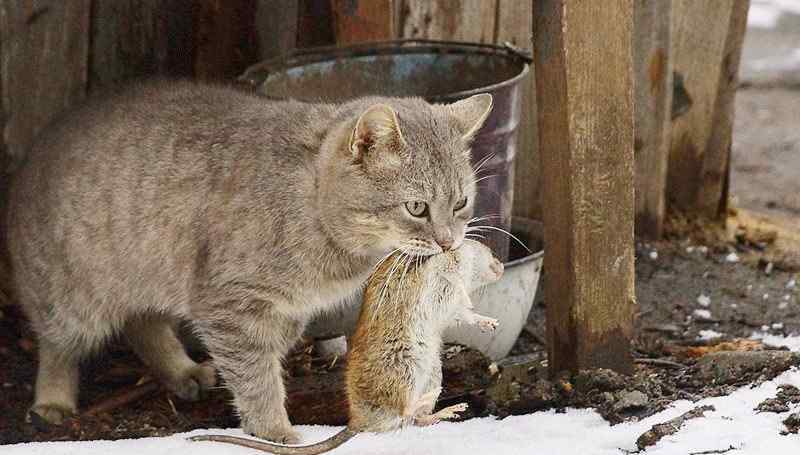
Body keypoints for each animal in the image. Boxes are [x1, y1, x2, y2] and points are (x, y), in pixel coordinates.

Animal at [6, 80, 490, 444]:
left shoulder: (288, 309)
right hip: (71, 300)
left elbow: (269, 358)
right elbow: (256, 376)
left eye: (461, 202)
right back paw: (52, 400)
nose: (449, 242)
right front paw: (273, 429)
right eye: (416, 208)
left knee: (144, 324)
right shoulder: (229, 307)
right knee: (58, 346)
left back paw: (181, 371)